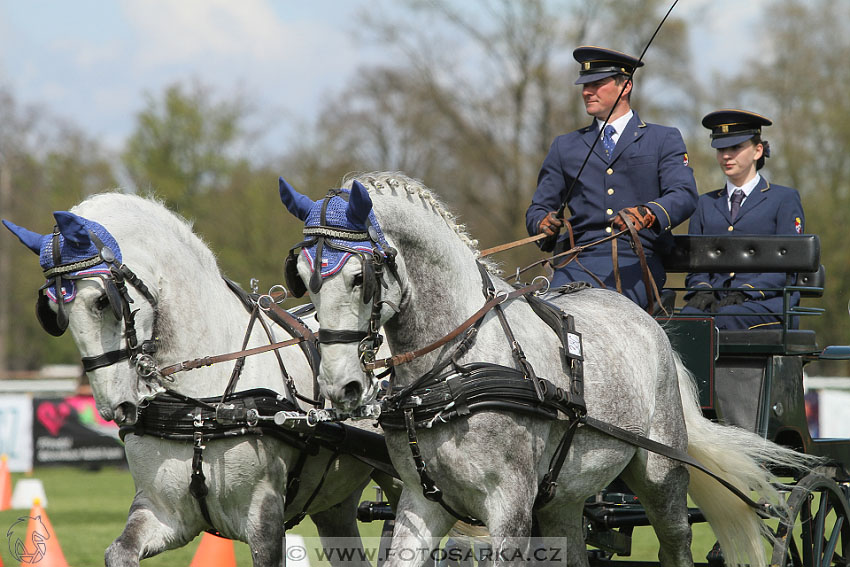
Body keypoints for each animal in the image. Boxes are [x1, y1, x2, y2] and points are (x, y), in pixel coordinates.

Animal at [1, 193, 386, 564]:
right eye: (53, 311)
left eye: (101, 301)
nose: (113, 406)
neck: (201, 406)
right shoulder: (164, 513)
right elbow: (119, 552)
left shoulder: (264, 517)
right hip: (335, 504)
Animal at [280, 172, 816, 567]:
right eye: (303, 277)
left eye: (359, 277)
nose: (340, 386)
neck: (451, 372)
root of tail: (651, 322)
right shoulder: (420, 500)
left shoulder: (509, 506)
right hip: (564, 497)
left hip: (661, 474)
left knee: (676, 542)